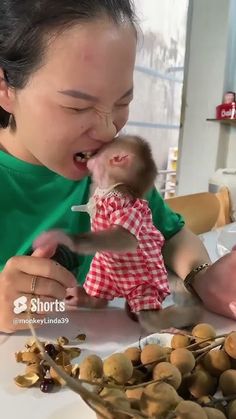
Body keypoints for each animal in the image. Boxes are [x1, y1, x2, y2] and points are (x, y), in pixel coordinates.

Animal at [34, 136, 202, 334]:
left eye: (100, 151)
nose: (90, 154)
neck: (109, 188)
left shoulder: (121, 200)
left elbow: (125, 238)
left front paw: (66, 239)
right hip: (101, 273)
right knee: (99, 289)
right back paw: (89, 299)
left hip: (146, 288)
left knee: (150, 317)